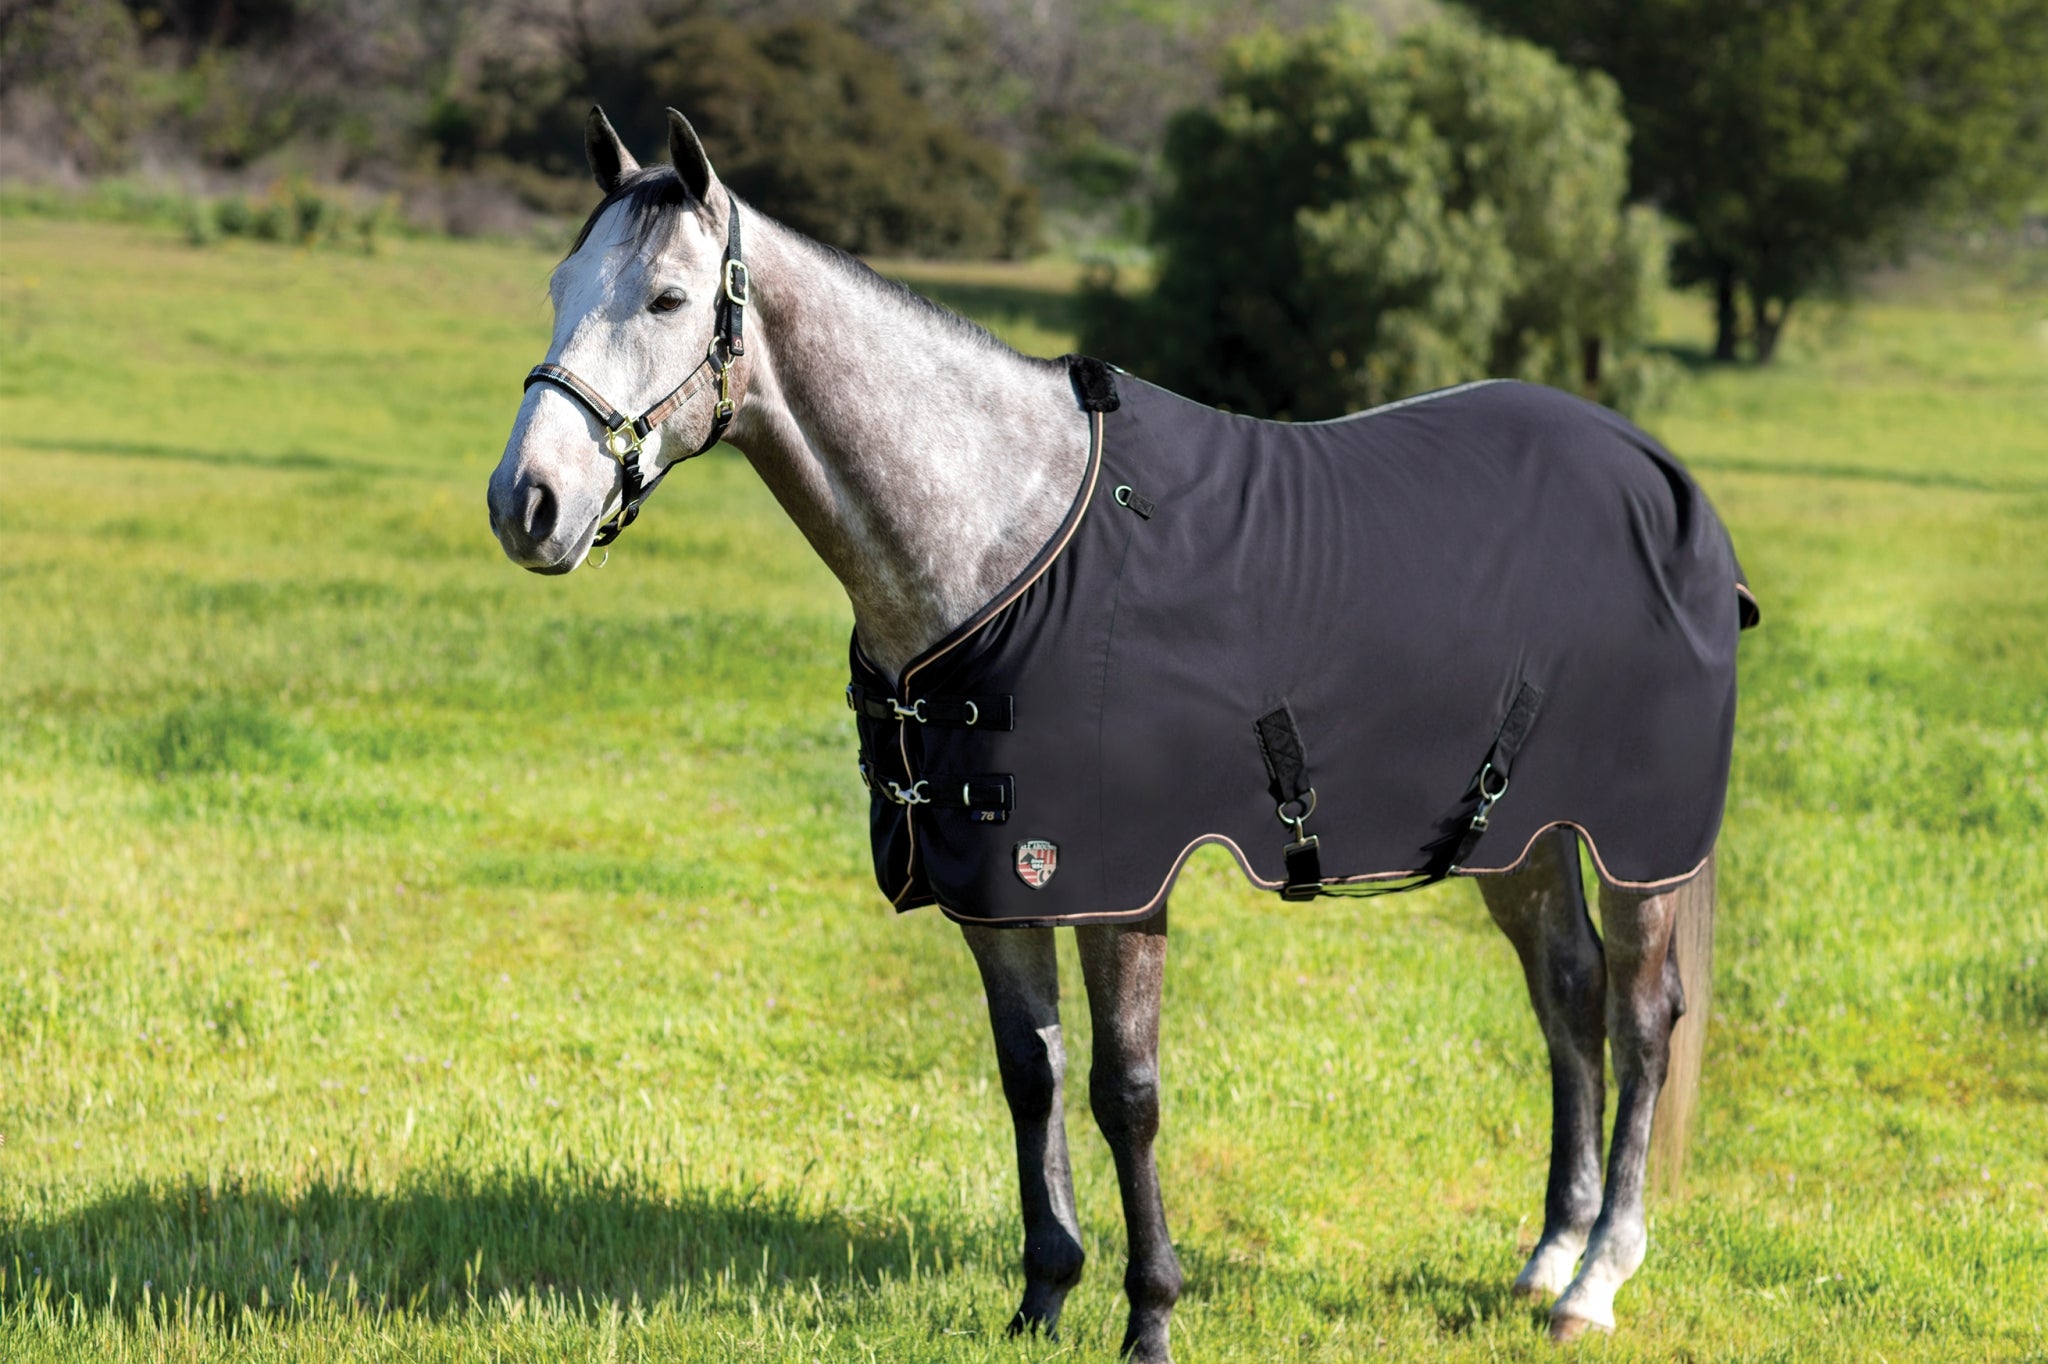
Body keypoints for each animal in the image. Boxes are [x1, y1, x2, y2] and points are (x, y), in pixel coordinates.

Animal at [487, 107, 1751, 1358]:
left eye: (665, 298)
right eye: (557, 283)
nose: (525, 503)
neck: (1006, 536)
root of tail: (1655, 473)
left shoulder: (1114, 882)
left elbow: (1123, 1091)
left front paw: (1149, 1314)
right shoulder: (994, 881)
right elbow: (1031, 1075)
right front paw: (1043, 1293)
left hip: (1637, 844)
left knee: (1641, 1017)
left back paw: (1596, 1276)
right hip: (1518, 834)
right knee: (1566, 992)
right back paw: (1544, 1255)